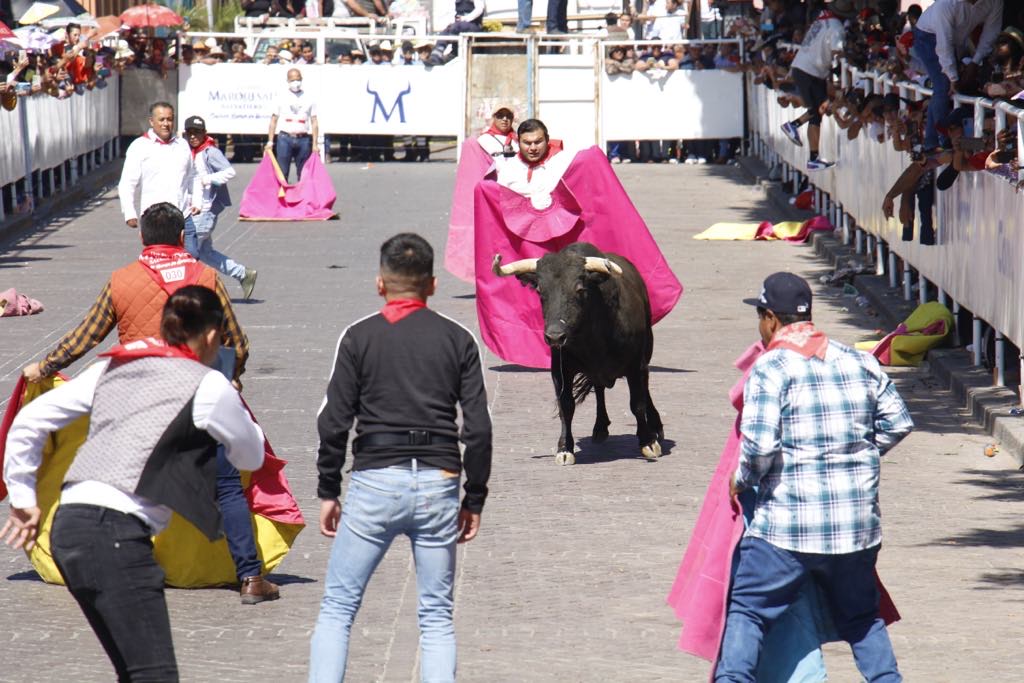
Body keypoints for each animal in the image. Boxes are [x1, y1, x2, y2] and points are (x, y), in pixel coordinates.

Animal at [493, 241, 667, 464]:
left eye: (579, 288)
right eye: (540, 290)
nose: (555, 336)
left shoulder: (636, 365)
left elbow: (637, 403)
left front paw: (647, 442)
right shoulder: (560, 371)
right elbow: (566, 406)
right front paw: (565, 448)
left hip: (647, 353)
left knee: (644, 391)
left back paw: (656, 427)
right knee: (599, 389)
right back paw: (600, 427)